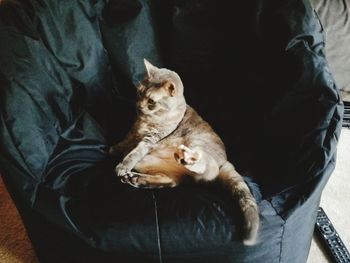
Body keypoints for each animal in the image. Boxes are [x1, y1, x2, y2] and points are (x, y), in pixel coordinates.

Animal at [110, 58, 260, 246]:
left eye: (151, 101)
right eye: (139, 93)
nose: (138, 107)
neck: (146, 120)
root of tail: (225, 161)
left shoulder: (149, 140)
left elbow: (134, 153)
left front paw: (123, 165)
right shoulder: (133, 132)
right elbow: (125, 142)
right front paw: (115, 149)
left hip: (197, 145)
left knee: (207, 170)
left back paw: (186, 158)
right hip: (151, 165)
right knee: (171, 181)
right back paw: (136, 178)